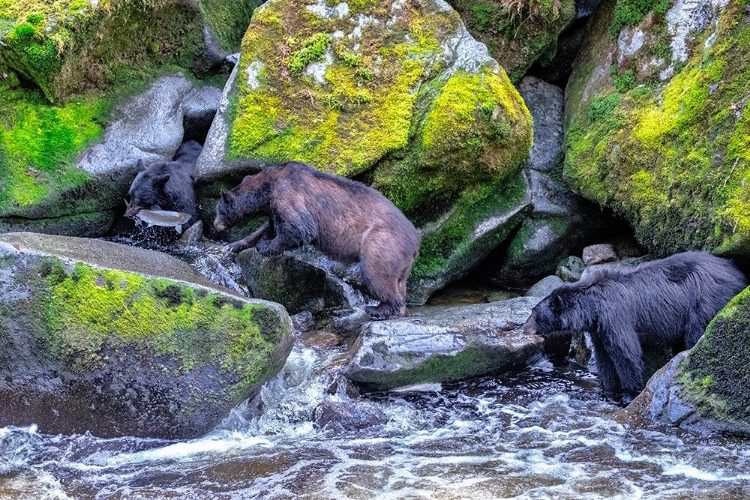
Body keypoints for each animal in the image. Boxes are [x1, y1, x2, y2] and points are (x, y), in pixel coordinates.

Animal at [214, 163, 424, 320]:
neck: (268, 187)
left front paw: (265, 246)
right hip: (402, 262)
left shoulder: (289, 194)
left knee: (376, 274)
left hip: (382, 243)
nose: (215, 225)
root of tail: (416, 239)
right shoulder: (273, 207)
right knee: (399, 282)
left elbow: (299, 228)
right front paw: (234, 245)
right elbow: (267, 227)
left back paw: (379, 309)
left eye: (219, 210)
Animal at [524, 254, 748, 402]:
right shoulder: (598, 329)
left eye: (535, 314)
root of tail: (739, 274)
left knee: (696, 333)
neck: (592, 308)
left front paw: (629, 394)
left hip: (704, 302)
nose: (524, 328)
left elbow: (625, 353)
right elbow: (604, 357)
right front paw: (607, 391)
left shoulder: (615, 317)